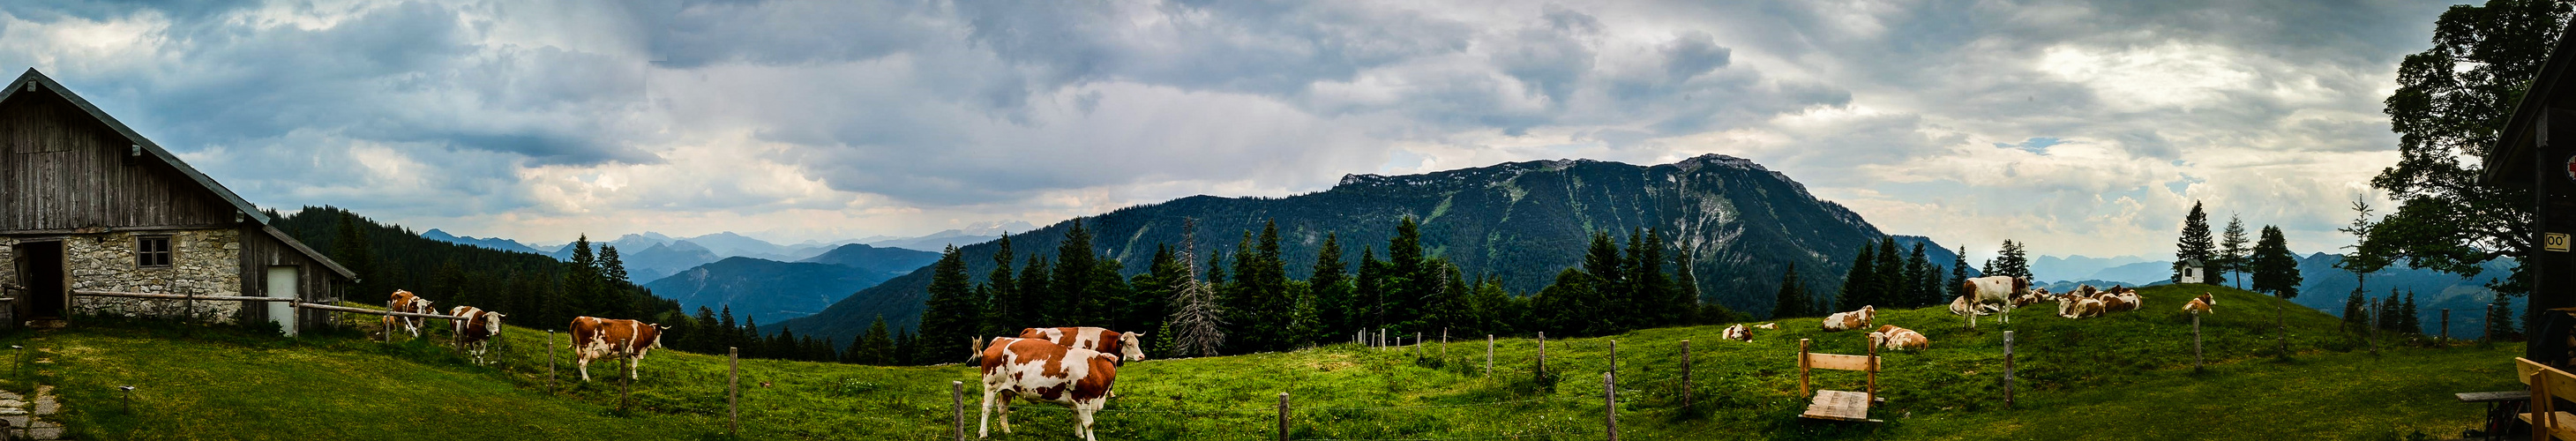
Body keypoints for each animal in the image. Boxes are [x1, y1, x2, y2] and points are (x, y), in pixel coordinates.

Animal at [973, 335, 1118, 438]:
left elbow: (1077, 417)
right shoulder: (1083, 398)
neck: (1097, 367)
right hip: (991, 386)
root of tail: (999, 340)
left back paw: (1007, 431)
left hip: (1007, 390)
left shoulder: (1075, 399)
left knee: (1003, 409)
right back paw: (983, 433)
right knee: (986, 409)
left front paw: (1079, 435)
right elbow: (1089, 423)